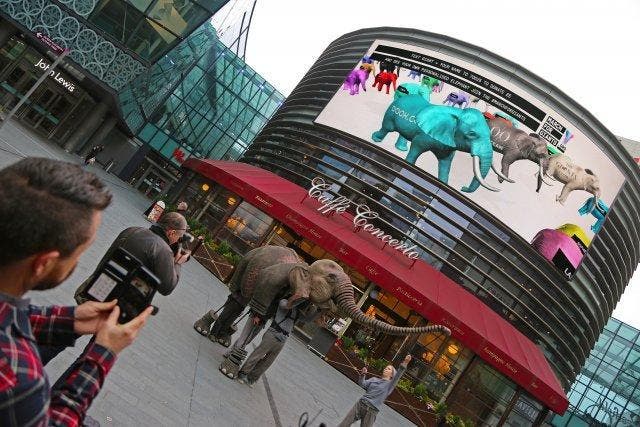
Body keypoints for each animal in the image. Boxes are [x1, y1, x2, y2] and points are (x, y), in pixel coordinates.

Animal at [372, 95, 502, 194]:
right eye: (472, 134)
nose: (462, 188)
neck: (458, 114)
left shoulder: (448, 143)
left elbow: (445, 162)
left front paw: (443, 184)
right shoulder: (425, 134)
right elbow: (416, 147)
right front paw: (408, 166)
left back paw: (400, 148)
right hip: (391, 112)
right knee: (387, 128)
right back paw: (375, 139)